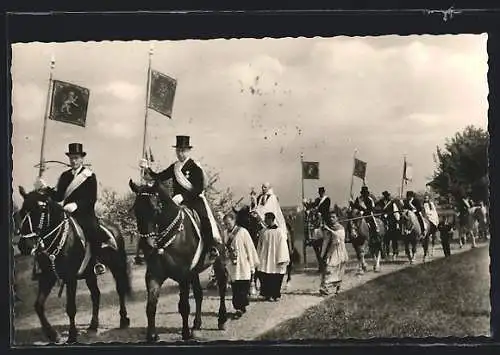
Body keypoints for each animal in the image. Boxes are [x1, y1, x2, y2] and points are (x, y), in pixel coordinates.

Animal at [16, 186, 132, 344]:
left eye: (40, 210)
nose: (24, 246)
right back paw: (93, 325)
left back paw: (123, 320)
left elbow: (71, 308)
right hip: (90, 274)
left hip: (117, 266)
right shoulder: (47, 277)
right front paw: (53, 335)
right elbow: (38, 305)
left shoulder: (70, 278)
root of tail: (114, 226)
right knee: (96, 294)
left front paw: (72, 336)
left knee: (120, 290)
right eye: (22, 212)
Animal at [129, 181, 230, 342]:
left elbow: (184, 306)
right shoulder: (154, 275)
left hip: (218, 262)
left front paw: (185, 333)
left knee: (221, 286)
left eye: (155, 209)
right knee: (199, 294)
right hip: (194, 272)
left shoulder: (184, 276)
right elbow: (151, 305)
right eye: (136, 210)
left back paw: (221, 320)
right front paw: (152, 335)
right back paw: (196, 325)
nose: (146, 246)